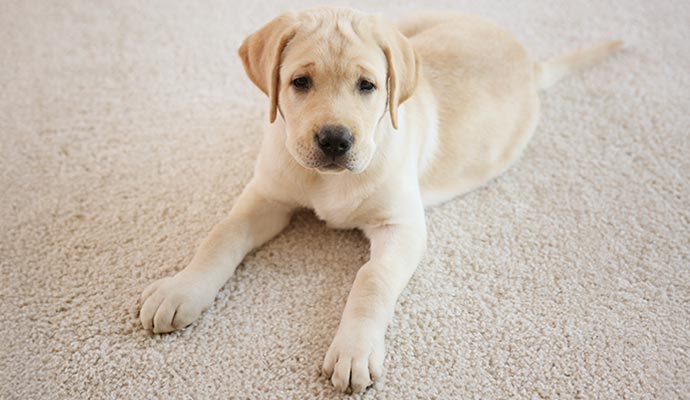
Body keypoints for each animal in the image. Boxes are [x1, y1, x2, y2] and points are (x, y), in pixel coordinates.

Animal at [138, 7, 620, 394]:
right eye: (300, 82)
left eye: (367, 86)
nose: (335, 140)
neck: (326, 182)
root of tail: (528, 60)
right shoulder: (266, 197)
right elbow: (220, 235)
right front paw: (181, 290)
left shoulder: (402, 228)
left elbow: (372, 279)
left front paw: (354, 350)